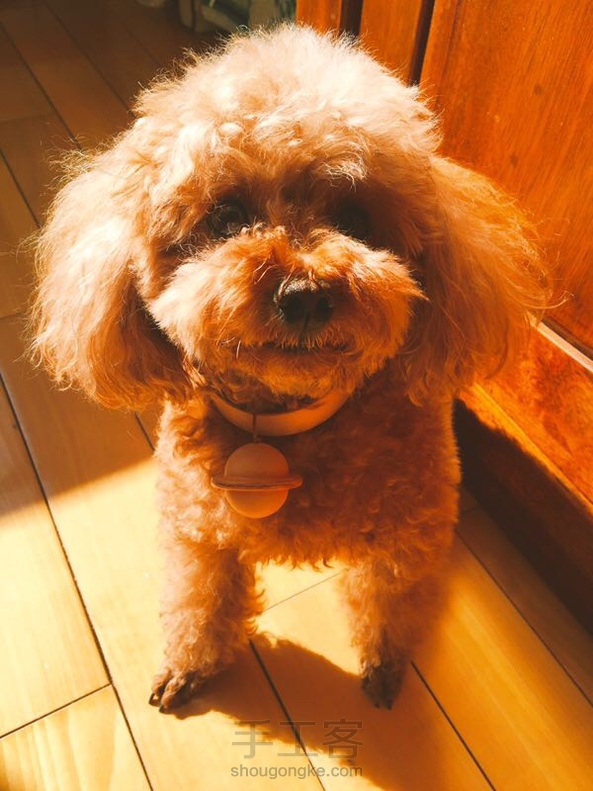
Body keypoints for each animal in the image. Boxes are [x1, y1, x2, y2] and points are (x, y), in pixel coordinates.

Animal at [31, 26, 548, 711]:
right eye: (227, 216)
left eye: (354, 218)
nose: (304, 295)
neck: (282, 424)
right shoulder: (198, 531)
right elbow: (197, 599)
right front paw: (188, 667)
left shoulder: (408, 535)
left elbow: (391, 600)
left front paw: (385, 666)